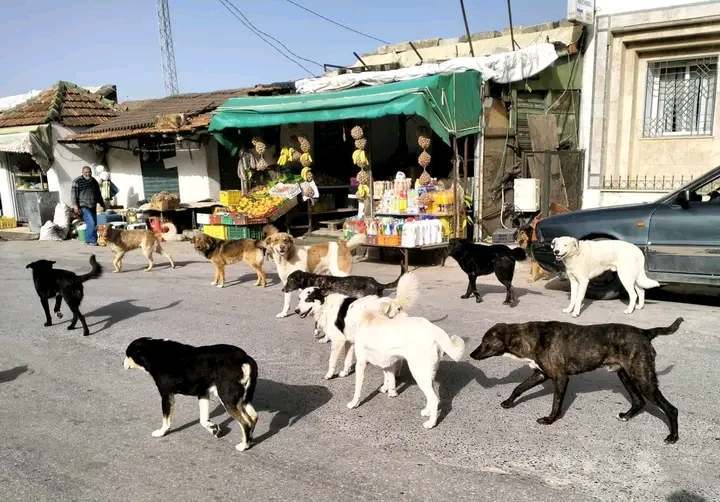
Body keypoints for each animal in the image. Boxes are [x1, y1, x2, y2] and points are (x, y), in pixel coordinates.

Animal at [124, 338, 258, 452]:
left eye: (127, 354)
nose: (122, 363)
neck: (154, 353)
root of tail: (244, 358)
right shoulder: (203, 393)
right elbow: (203, 419)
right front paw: (213, 429)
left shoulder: (166, 395)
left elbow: (165, 419)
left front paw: (162, 432)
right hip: (242, 399)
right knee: (254, 417)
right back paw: (249, 441)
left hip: (227, 398)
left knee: (246, 423)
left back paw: (243, 446)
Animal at [344, 294, 466, 428]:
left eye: (351, 307)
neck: (372, 317)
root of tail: (433, 329)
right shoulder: (388, 364)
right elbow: (390, 379)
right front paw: (391, 392)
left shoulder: (361, 363)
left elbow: (358, 388)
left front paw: (354, 403)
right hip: (428, 374)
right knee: (433, 397)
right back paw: (427, 412)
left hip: (419, 373)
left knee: (434, 399)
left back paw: (431, 423)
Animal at [470, 318, 684, 444]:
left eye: (484, 342)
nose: (471, 354)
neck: (531, 338)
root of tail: (644, 332)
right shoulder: (540, 374)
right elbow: (518, 388)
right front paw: (508, 402)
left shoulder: (560, 378)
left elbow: (556, 403)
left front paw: (550, 420)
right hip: (626, 375)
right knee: (639, 401)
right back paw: (626, 416)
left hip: (643, 379)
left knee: (671, 409)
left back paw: (673, 437)